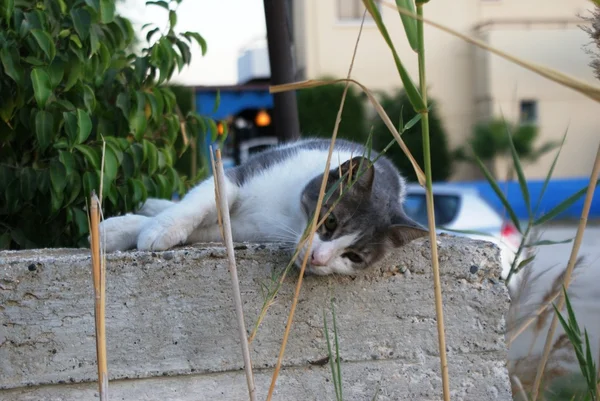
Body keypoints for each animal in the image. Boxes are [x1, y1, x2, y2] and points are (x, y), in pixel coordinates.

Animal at [97, 138, 426, 276]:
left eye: (354, 257)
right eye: (330, 222)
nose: (318, 259)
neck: (289, 215)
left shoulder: (245, 229)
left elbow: (209, 226)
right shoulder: (240, 174)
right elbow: (203, 200)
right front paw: (147, 229)